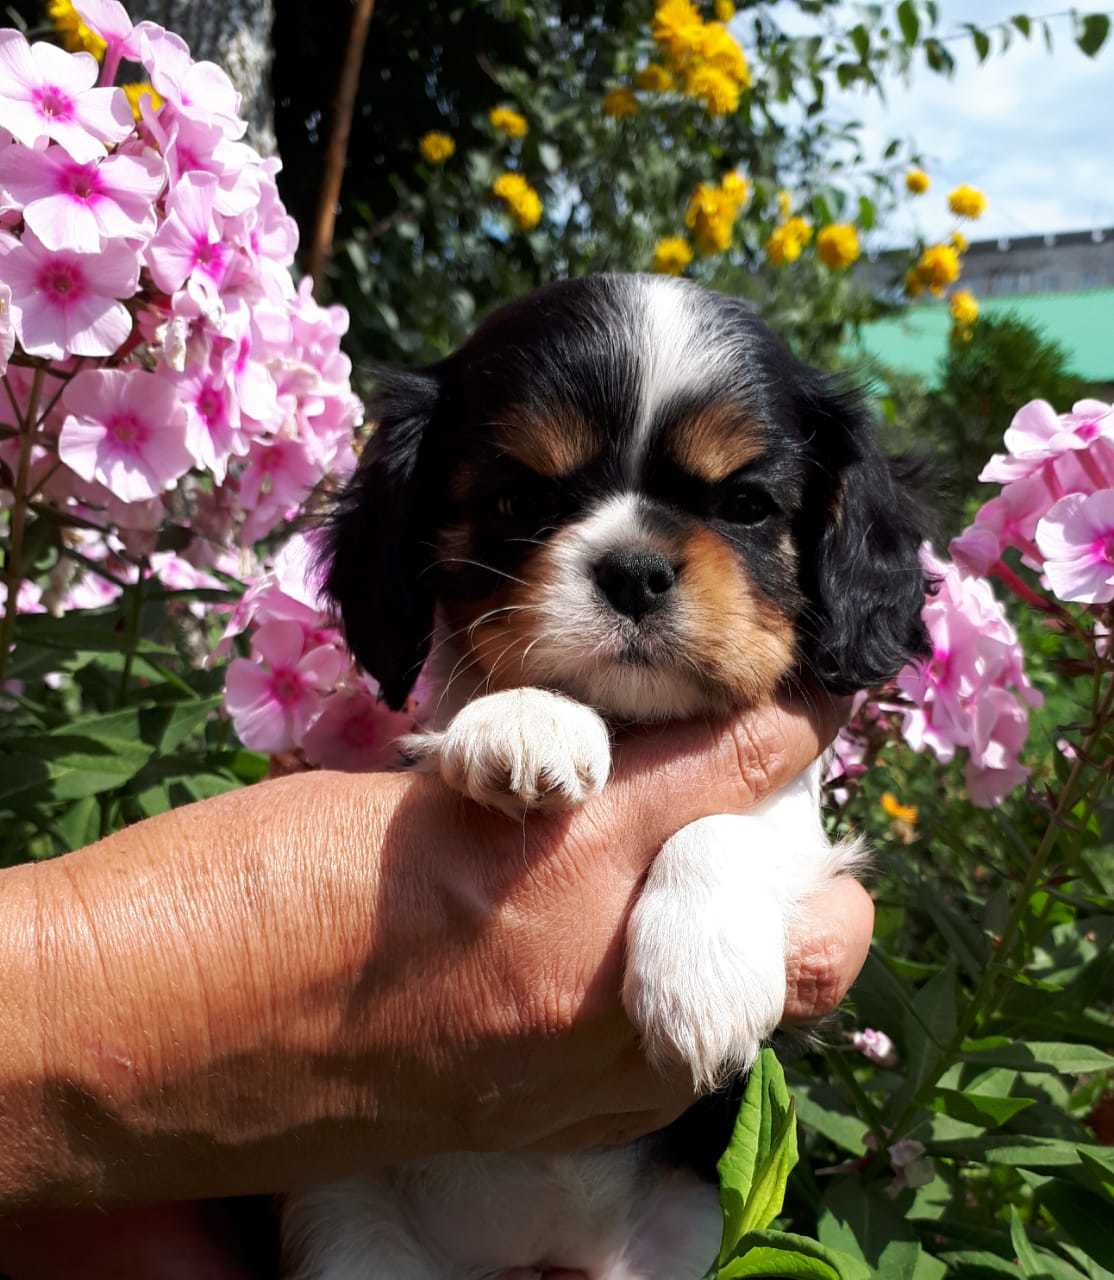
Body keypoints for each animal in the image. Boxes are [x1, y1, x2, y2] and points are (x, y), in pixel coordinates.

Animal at [281, 275, 932, 1280]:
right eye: (519, 499)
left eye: (746, 505)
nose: (634, 568)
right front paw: (528, 718)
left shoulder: (809, 841)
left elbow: (723, 825)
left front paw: (700, 979)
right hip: (342, 1222)